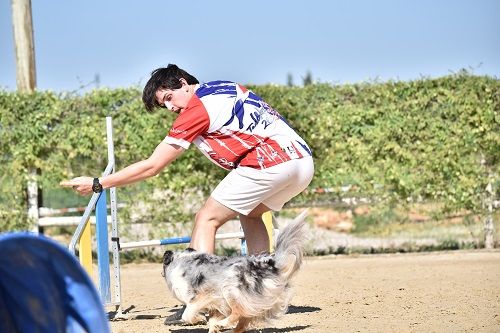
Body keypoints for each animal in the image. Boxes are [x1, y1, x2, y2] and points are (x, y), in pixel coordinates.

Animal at [162, 210, 306, 332]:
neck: (179, 260)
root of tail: (270, 263)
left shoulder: (203, 296)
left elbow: (188, 313)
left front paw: (198, 319)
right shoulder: (217, 305)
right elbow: (212, 321)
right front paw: (212, 328)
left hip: (230, 289)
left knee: (238, 313)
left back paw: (223, 324)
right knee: (243, 321)